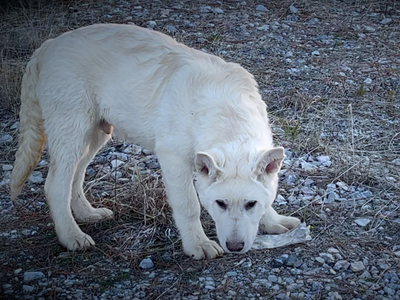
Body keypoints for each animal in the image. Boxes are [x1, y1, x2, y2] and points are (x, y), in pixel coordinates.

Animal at [10, 23, 300, 258]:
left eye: (250, 204)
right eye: (220, 204)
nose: (235, 248)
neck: (228, 113)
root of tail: (48, 46)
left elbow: (268, 196)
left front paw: (273, 222)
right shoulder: (173, 158)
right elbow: (189, 205)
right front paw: (197, 245)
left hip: (95, 134)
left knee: (75, 176)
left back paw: (87, 214)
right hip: (72, 129)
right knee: (56, 185)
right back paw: (71, 236)